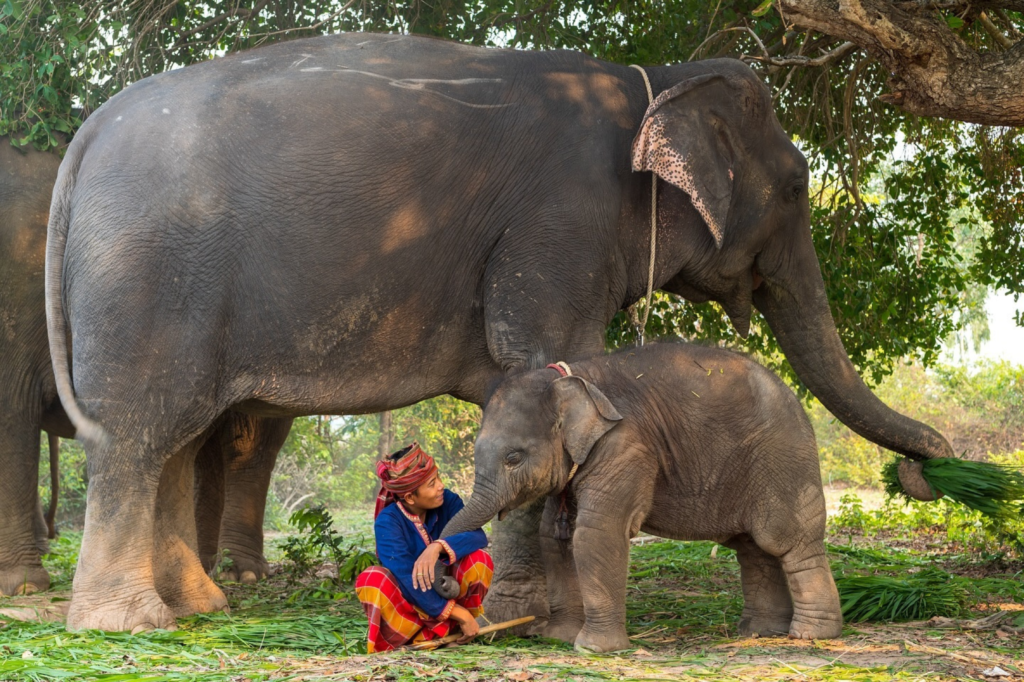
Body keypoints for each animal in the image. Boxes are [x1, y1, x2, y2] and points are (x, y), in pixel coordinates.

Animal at [444, 342, 843, 651]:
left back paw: (810, 635)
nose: (444, 574)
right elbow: (555, 538)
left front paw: (593, 649)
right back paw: (759, 632)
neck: (570, 380)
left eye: (514, 457)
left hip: (785, 463)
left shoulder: (626, 446)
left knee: (786, 541)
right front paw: (558, 638)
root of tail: (796, 399)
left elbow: (596, 533)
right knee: (752, 549)